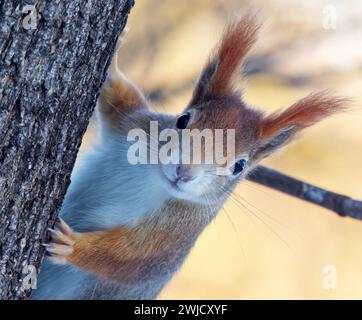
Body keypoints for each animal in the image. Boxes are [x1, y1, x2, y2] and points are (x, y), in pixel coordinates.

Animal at [34, 15, 348, 300]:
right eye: (183, 119)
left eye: (239, 166)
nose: (183, 172)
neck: (153, 178)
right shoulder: (132, 123)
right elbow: (118, 97)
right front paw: (112, 60)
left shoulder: (173, 237)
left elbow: (128, 261)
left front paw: (71, 245)